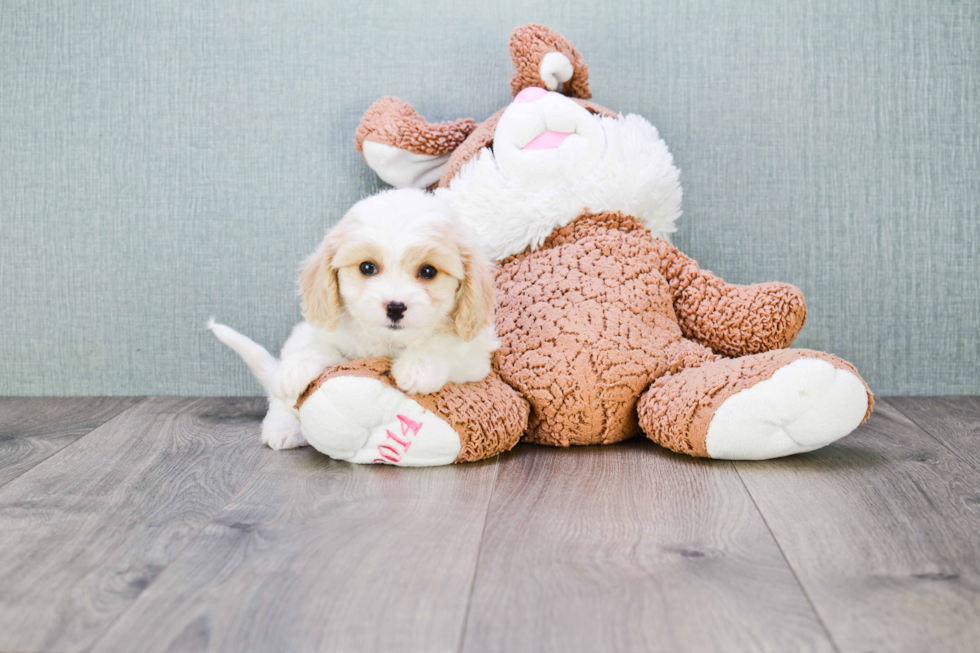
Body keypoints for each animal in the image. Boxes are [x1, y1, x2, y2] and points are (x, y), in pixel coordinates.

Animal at [210, 188, 494, 448]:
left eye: (428, 271)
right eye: (367, 267)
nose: (395, 307)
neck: (388, 343)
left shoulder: (476, 359)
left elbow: (444, 347)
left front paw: (418, 366)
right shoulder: (334, 338)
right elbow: (321, 349)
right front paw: (295, 368)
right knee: (280, 403)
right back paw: (283, 427)